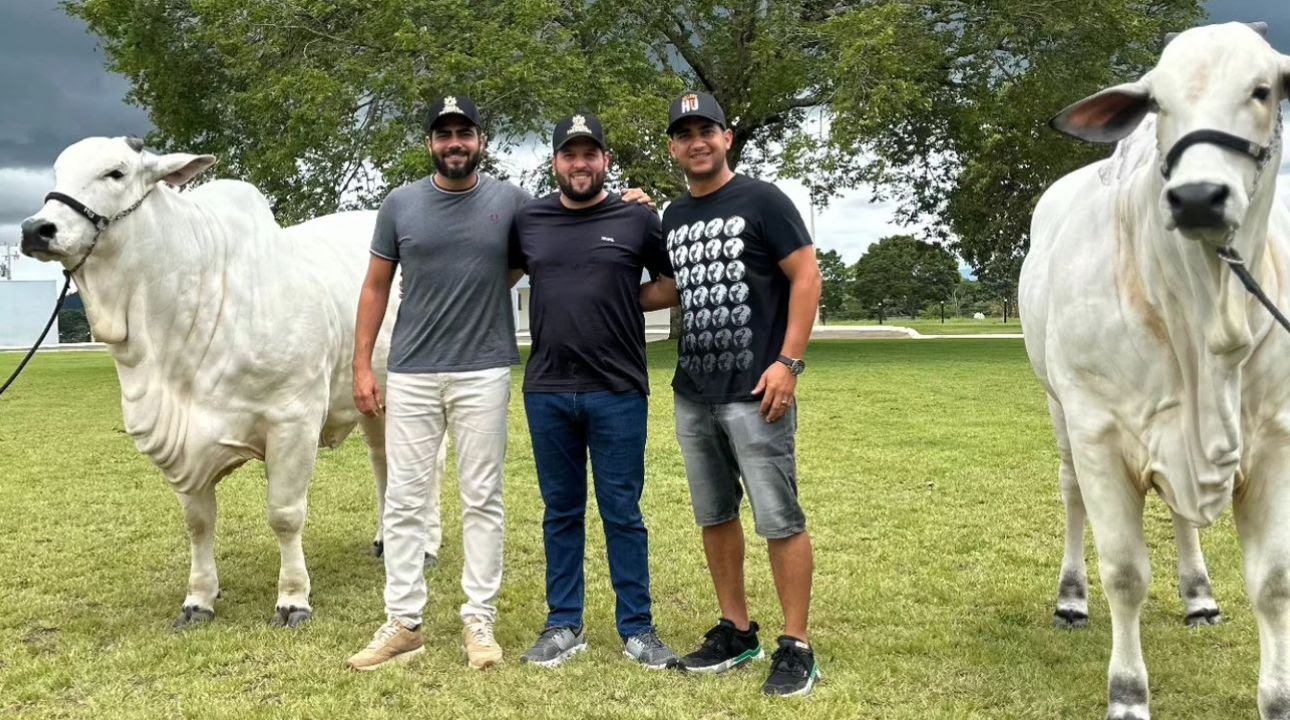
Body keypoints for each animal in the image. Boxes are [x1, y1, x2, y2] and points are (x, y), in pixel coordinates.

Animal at [17, 136, 436, 632]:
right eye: (58, 172)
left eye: (115, 173)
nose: (36, 229)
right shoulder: (181, 445)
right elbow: (199, 524)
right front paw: (199, 599)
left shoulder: (293, 421)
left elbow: (285, 515)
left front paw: (293, 599)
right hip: (372, 399)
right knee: (383, 462)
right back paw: (387, 542)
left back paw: (426, 548)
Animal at [1021, 22, 1290, 720]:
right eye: (1158, 104)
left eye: (1262, 90)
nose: (1197, 197)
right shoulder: (1097, 431)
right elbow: (1124, 573)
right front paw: (1127, 693)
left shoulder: (1278, 439)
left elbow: (1274, 580)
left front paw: (1277, 698)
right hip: (1058, 411)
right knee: (1070, 494)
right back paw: (1070, 599)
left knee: (1181, 514)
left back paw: (1199, 595)